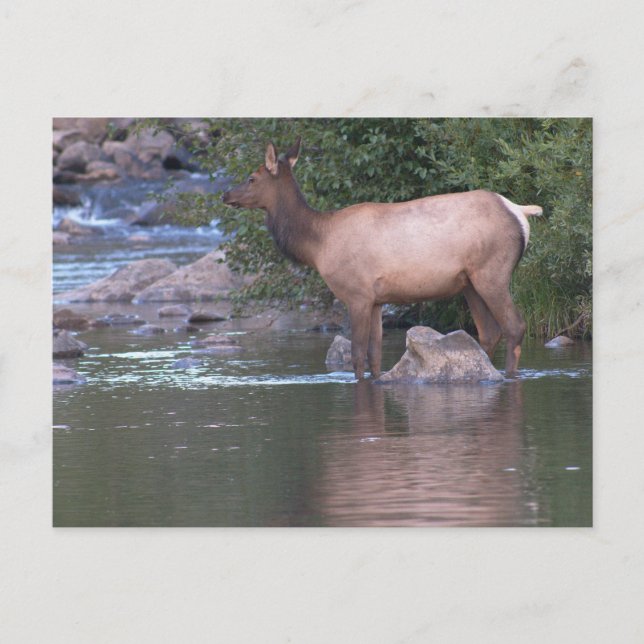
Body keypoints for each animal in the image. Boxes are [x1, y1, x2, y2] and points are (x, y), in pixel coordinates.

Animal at [222, 137, 542, 380]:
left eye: (251, 178)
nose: (225, 195)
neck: (317, 245)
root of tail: (520, 212)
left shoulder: (356, 294)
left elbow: (357, 355)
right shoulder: (377, 299)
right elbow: (375, 355)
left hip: (492, 272)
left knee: (515, 326)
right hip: (469, 282)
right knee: (489, 332)